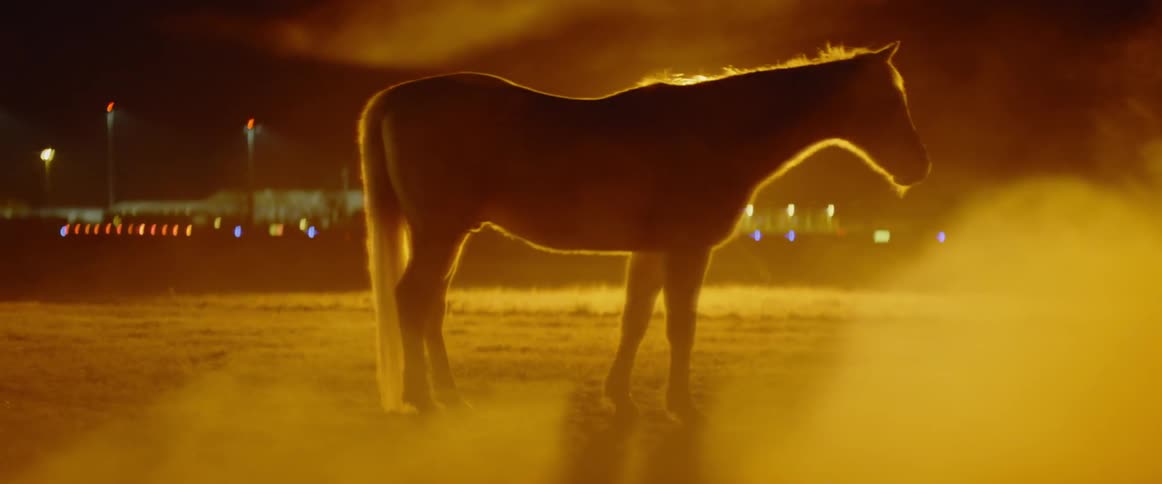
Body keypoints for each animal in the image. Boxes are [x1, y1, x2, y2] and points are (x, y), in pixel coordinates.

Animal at [357, 41, 930, 421]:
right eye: (888, 101)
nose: (918, 168)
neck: (714, 132)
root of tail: (398, 97)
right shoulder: (687, 250)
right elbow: (681, 327)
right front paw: (681, 404)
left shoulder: (651, 251)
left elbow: (633, 322)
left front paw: (621, 396)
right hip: (439, 234)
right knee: (411, 300)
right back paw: (422, 397)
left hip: (447, 235)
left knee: (431, 307)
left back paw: (449, 395)